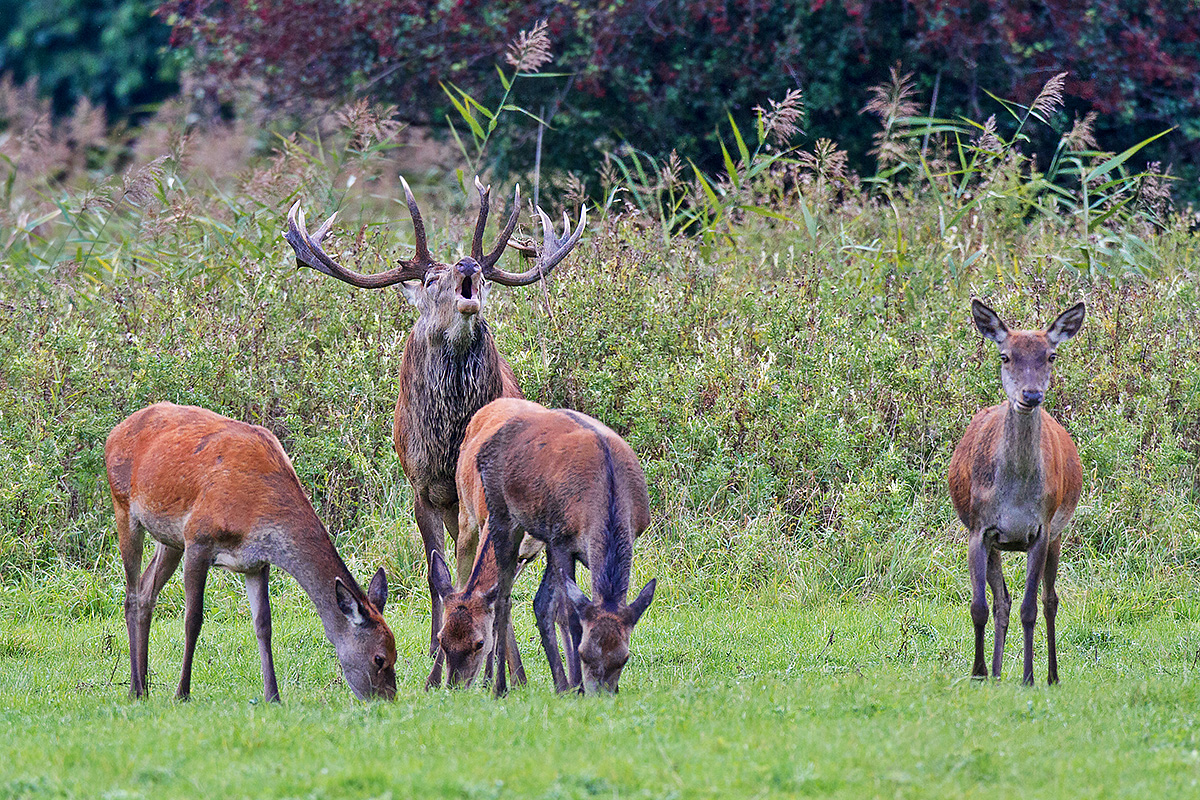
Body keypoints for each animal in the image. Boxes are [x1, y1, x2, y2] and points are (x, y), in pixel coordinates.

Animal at [105, 402, 397, 702]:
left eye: (395, 653)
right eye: (379, 658)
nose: (388, 699)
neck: (256, 512)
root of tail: (115, 432)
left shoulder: (256, 562)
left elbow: (264, 624)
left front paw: (273, 695)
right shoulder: (198, 538)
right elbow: (193, 619)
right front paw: (182, 693)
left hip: (170, 539)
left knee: (146, 590)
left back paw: (145, 685)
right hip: (124, 507)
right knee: (131, 595)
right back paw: (135, 687)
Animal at [284, 178, 585, 676]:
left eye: (485, 276)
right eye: (428, 280)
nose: (468, 265)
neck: (447, 445)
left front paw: (496, 661)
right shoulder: (420, 486)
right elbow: (433, 571)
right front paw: (434, 649)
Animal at [453, 397, 656, 696]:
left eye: (624, 657)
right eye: (584, 653)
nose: (601, 694)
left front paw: (579, 685)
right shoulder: (562, 539)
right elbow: (571, 614)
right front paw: (578, 686)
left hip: (541, 536)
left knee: (539, 601)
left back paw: (560, 684)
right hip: (502, 515)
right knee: (503, 598)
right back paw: (499, 686)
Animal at [948, 299, 1085, 686]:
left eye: (1051, 355)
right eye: (1005, 356)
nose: (1031, 394)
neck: (1015, 498)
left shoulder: (1041, 528)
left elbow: (1030, 607)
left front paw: (1028, 677)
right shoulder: (979, 529)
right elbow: (980, 606)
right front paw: (979, 672)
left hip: (1058, 533)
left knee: (1050, 599)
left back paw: (1052, 675)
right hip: (997, 542)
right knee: (1002, 601)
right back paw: (996, 673)